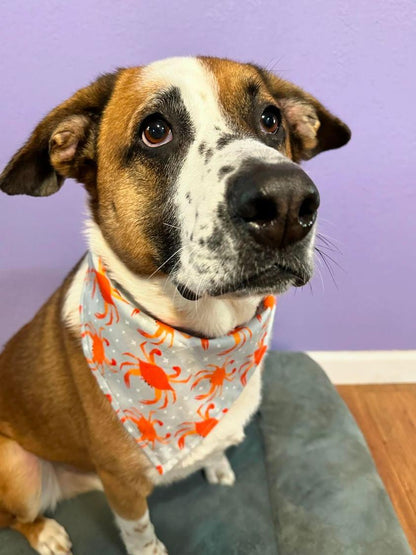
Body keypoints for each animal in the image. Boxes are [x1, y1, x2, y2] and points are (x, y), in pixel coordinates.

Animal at [0, 57, 352, 555]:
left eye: (271, 119)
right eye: (155, 130)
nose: (286, 202)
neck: (206, 339)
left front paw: (217, 464)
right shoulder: (123, 487)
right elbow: (142, 533)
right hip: (16, 467)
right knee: (14, 516)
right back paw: (46, 533)